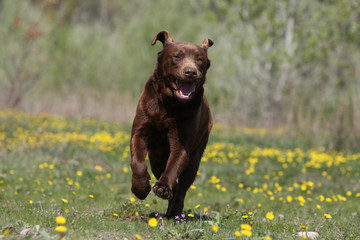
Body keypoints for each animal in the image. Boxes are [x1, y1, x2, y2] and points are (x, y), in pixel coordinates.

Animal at [130, 31, 212, 218]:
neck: (169, 104)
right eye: (177, 56)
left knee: (182, 187)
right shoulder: (140, 130)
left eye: (200, 59)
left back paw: (174, 211)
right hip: (156, 159)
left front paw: (163, 187)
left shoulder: (182, 140)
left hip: (196, 155)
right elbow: (137, 160)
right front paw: (140, 188)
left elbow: (175, 163)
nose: (191, 72)